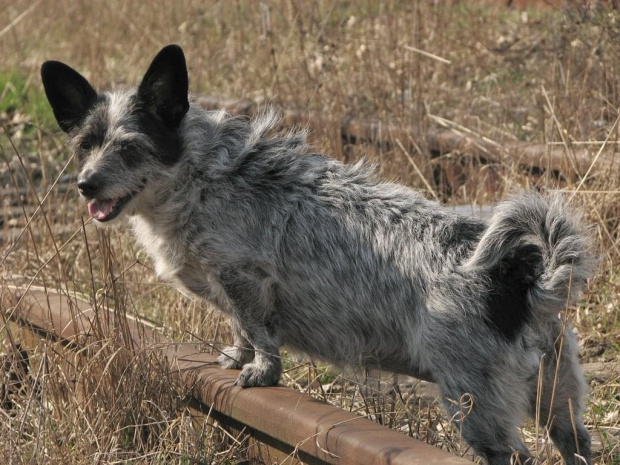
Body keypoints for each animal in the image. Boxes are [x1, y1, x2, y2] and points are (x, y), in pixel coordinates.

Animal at [41, 44, 592, 464]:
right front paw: (234, 358)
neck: (200, 176)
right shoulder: (229, 287)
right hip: (557, 400)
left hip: (476, 409)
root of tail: (518, 278)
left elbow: (259, 332)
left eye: (130, 147)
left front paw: (259, 373)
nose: (85, 185)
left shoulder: (245, 279)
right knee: (577, 444)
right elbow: (238, 329)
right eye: (85, 145)